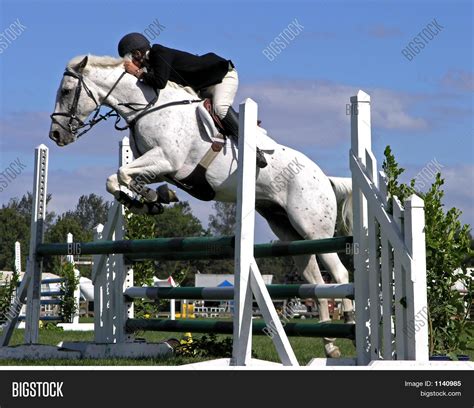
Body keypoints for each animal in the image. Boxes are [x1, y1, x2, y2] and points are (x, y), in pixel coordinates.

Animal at [50, 55, 354, 356]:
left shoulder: (166, 159)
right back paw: (330, 345)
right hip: (289, 232)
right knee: (314, 281)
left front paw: (148, 198)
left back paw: (350, 323)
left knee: (339, 273)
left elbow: (123, 174)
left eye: (65, 91)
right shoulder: (161, 167)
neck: (146, 107)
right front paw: (149, 200)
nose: (56, 135)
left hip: (313, 229)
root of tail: (324, 178)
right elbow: (116, 179)